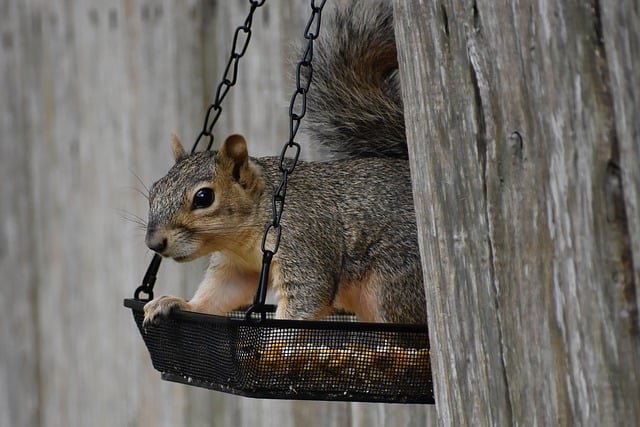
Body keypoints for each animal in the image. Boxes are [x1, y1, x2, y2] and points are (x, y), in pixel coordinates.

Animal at [142, 0, 428, 326]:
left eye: (204, 197)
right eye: (153, 190)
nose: (154, 243)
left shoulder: (301, 239)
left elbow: (307, 295)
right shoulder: (237, 268)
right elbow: (218, 295)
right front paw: (177, 302)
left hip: (394, 281)